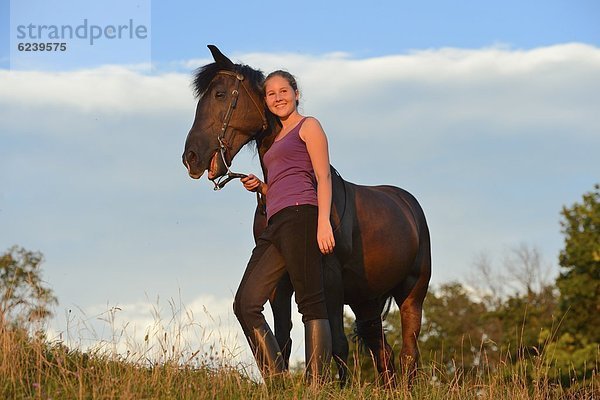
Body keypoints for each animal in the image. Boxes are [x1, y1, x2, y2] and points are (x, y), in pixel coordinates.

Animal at [180, 45, 428, 386]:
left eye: (219, 94)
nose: (191, 157)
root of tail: (408, 204)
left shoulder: (330, 281)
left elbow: (337, 342)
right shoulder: (279, 285)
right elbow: (281, 336)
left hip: (412, 293)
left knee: (408, 352)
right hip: (365, 300)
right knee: (383, 352)